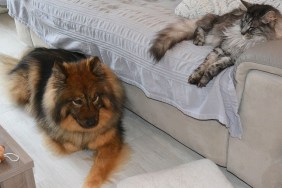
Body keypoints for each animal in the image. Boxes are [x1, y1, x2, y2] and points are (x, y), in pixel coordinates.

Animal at [150, 0, 282, 87]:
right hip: (212, 24)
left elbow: (213, 68)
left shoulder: (230, 59)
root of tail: (219, 15)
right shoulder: (220, 48)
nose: (242, 32)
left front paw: (202, 80)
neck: (243, 41)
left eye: (252, 27)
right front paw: (195, 76)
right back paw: (199, 39)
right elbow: (204, 65)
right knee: (199, 27)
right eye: (243, 22)